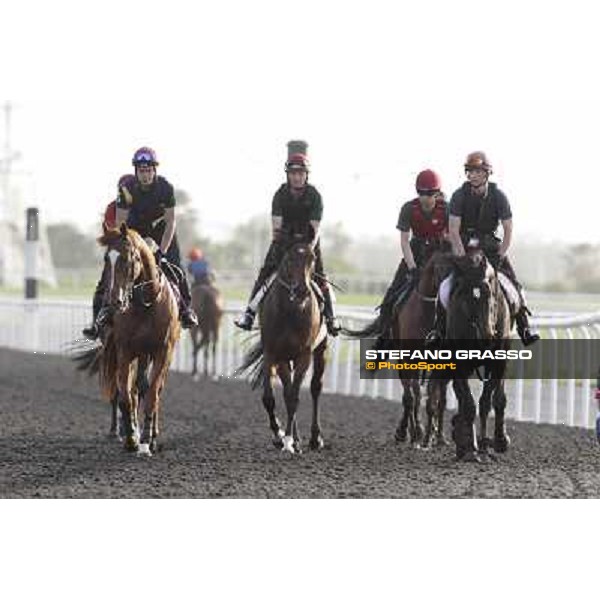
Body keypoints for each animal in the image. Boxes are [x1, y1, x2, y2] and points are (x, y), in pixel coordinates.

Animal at [75, 225, 179, 454]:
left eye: (128, 258)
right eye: (107, 258)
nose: (114, 301)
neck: (146, 303)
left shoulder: (162, 351)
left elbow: (152, 394)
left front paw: (147, 437)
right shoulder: (125, 350)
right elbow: (125, 395)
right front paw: (131, 436)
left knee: (151, 389)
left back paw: (152, 435)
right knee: (128, 388)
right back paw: (118, 430)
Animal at [236, 234, 328, 454]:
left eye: (312, 258)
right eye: (289, 259)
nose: (302, 290)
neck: (290, 311)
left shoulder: (304, 354)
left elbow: (295, 397)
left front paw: (289, 441)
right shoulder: (273, 353)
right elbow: (270, 398)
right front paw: (281, 436)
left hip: (320, 349)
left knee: (315, 388)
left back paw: (314, 438)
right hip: (284, 359)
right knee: (287, 389)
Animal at [446, 246, 510, 462]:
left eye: (489, 293)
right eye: (464, 296)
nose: (487, 335)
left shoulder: (498, 362)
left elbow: (488, 401)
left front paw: (490, 444)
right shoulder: (458, 364)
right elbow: (468, 404)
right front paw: (470, 449)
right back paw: (463, 442)